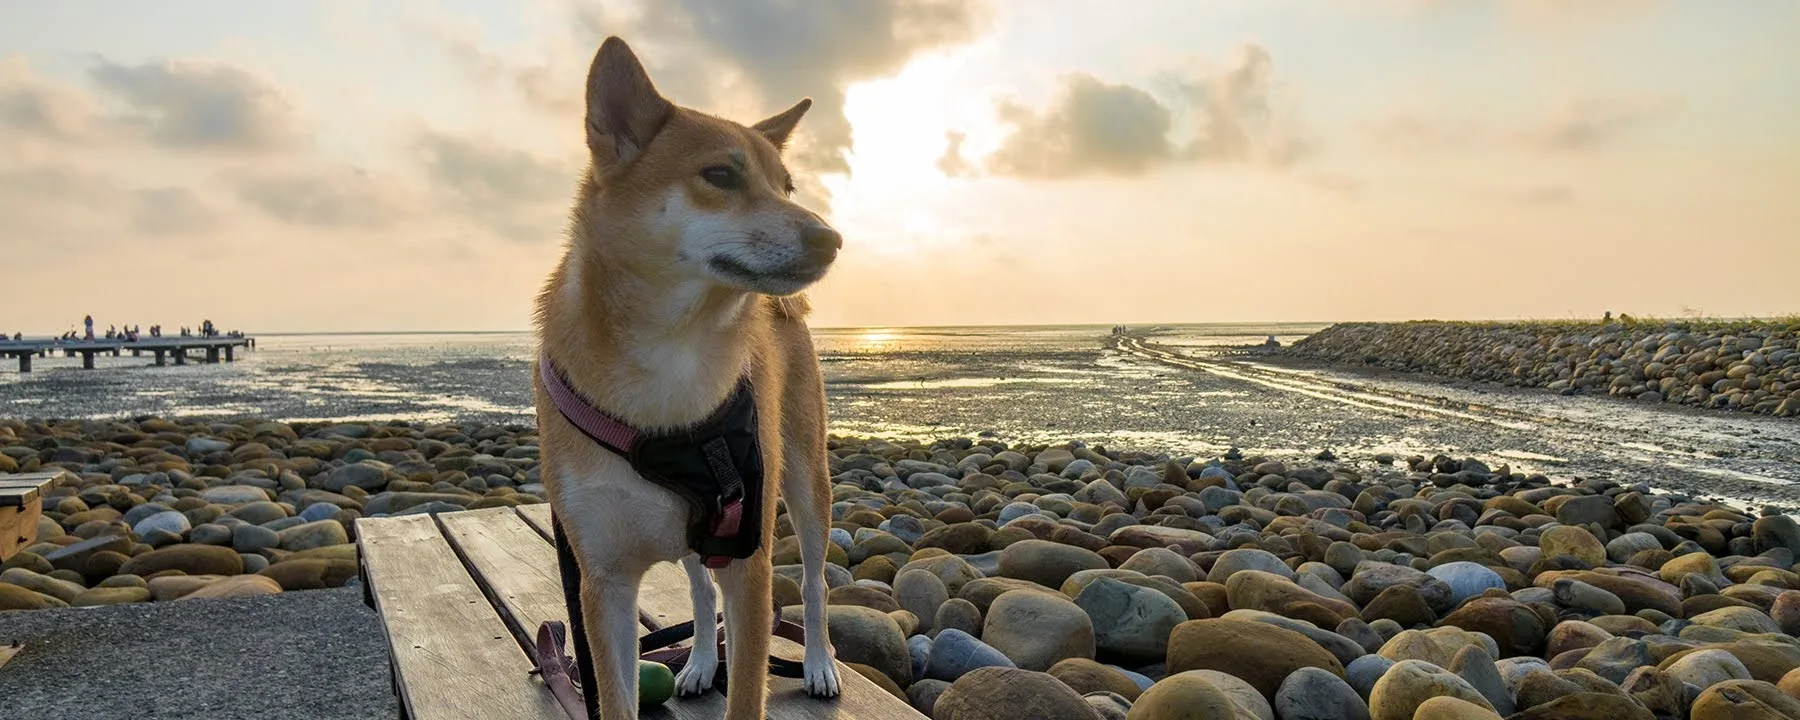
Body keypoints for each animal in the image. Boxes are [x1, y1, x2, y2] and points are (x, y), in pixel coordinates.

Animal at [529, 36, 846, 720]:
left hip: (806, 482)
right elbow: (616, 697)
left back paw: (818, 663)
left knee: (812, 583)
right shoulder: (603, 584)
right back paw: (699, 661)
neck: (670, 357)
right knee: (701, 593)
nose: (831, 238)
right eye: (720, 176)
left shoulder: (750, 566)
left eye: (786, 186)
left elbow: (749, 690)